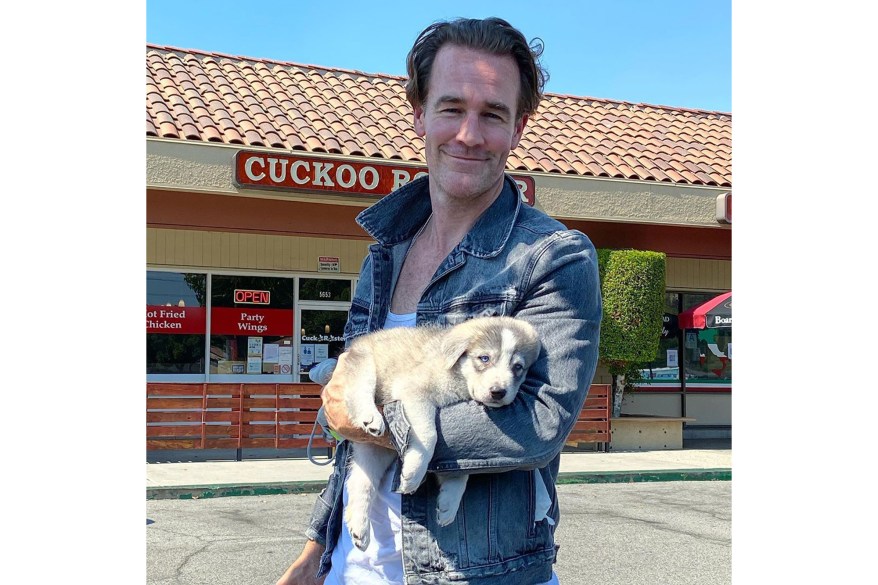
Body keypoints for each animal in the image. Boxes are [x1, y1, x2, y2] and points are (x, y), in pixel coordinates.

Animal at [328, 314, 544, 548]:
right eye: (484, 358)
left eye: (518, 367)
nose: (498, 392)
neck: (459, 378)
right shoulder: (413, 391)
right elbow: (429, 436)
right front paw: (413, 474)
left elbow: (464, 468)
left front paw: (449, 503)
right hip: (363, 363)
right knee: (359, 389)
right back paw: (370, 417)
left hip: (374, 452)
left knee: (360, 483)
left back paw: (359, 528)